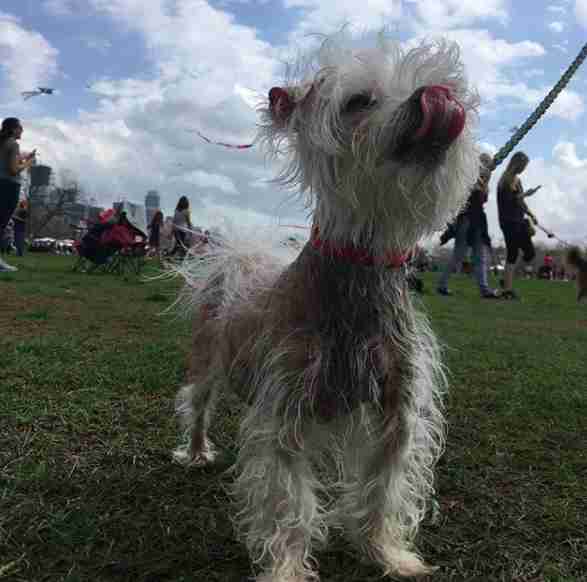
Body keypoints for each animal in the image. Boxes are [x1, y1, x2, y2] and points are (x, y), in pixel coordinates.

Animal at [172, 32, 480, 582]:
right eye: (359, 101)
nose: (436, 96)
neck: (358, 278)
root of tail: (240, 259)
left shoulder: (397, 417)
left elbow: (383, 493)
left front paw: (387, 553)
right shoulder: (285, 420)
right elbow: (289, 508)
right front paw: (287, 570)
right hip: (207, 363)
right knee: (198, 406)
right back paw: (197, 451)